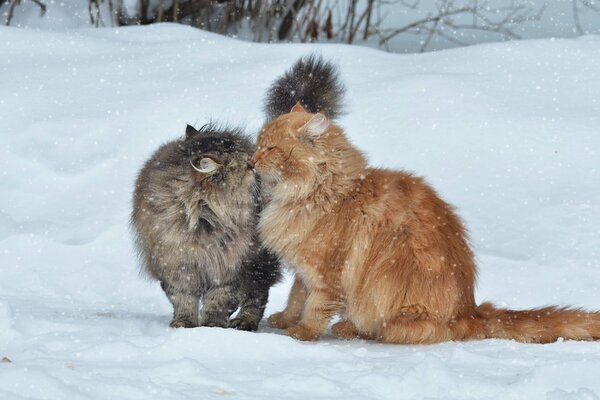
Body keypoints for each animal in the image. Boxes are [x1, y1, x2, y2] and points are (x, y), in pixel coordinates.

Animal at [131, 125, 282, 332]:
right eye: (247, 167)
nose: (254, 163)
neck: (203, 222)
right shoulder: (176, 266)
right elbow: (183, 299)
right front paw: (184, 323)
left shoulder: (228, 267)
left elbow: (219, 299)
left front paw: (213, 324)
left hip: (258, 263)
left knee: (256, 294)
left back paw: (244, 321)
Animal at [251, 101, 600, 344]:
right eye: (257, 144)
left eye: (270, 148)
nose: (252, 161)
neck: (319, 193)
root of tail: (471, 310)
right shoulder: (304, 271)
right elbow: (296, 298)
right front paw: (284, 320)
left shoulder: (327, 273)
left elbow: (315, 308)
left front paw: (302, 333)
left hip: (387, 305)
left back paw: (347, 327)